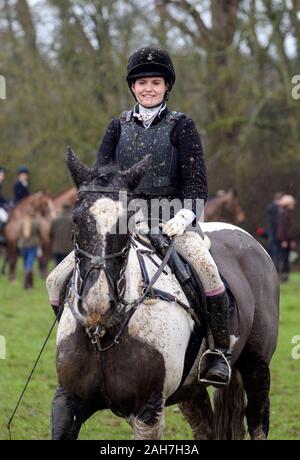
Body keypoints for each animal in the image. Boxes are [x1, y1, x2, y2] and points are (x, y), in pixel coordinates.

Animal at [51, 149, 278, 440]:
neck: (105, 331)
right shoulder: (67, 402)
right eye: (76, 219)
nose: (96, 304)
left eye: (126, 222)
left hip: (256, 367)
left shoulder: (147, 412)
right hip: (191, 390)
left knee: (259, 419)